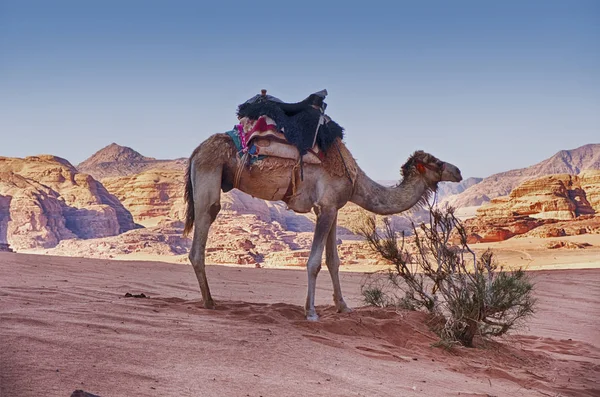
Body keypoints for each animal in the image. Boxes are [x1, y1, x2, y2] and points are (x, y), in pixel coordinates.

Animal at [184, 132, 464, 318]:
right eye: (438, 163)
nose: (459, 171)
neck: (356, 181)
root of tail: (196, 150)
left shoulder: (332, 208)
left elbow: (333, 261)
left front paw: (343, 306)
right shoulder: (326, 206)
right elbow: (314, 262)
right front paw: (310, 311)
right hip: (209, 175)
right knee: (203, 230)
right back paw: (210, 302)